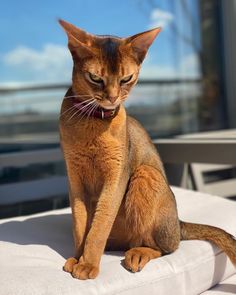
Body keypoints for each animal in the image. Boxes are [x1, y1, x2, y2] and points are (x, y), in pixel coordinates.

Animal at [57, 19, 236, 280]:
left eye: (126, 78)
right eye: (95, 78)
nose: (112, 99)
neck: (93, 122)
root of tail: (179, 223)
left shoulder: (116, 177)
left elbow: (99, 226)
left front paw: (88, 264)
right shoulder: (74, 179)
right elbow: (80, 227)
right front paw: (77, 257)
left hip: (145, 174)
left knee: (166, 247)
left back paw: (139, 254)